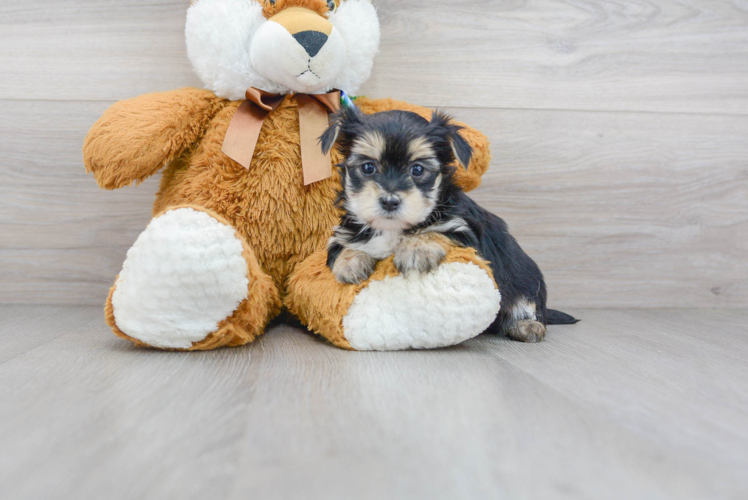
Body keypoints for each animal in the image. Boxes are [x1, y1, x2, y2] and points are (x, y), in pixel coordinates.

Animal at [322, 104, 580, 340]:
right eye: (368, 167)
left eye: (417, 170)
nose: (389, 201)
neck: (393, 228)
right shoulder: (344, 233)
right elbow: (342, 248)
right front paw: (350, 264)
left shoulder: (464, 233)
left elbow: (434, 231)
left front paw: (416, 249)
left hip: (528, 280)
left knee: (529, 304)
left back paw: (526, 325)